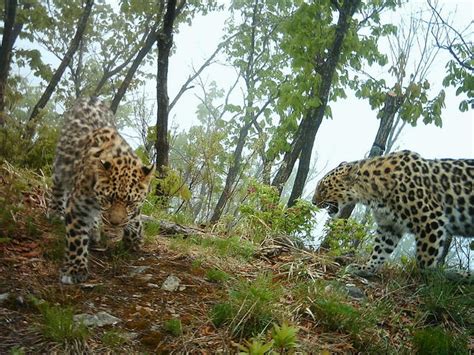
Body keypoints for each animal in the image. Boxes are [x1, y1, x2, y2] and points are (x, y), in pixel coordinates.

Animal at [51, 98, 156, 286]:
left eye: (130, 203)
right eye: (108, 199)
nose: (114, 223)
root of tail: (90, 99)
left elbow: (134, 219)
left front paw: (135, 239)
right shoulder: (77, 206)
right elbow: (76, 238)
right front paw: (74, 270)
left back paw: (94, 231)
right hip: (61, 162)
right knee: (57, 183)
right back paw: (55, 211)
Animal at [312, 149, 472, 280]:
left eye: (323, 188)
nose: (313, 202)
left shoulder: (431, 219)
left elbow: (425, 260)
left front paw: (433, 279)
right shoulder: (390, 226)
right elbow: (380, 250)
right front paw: (365, 269)